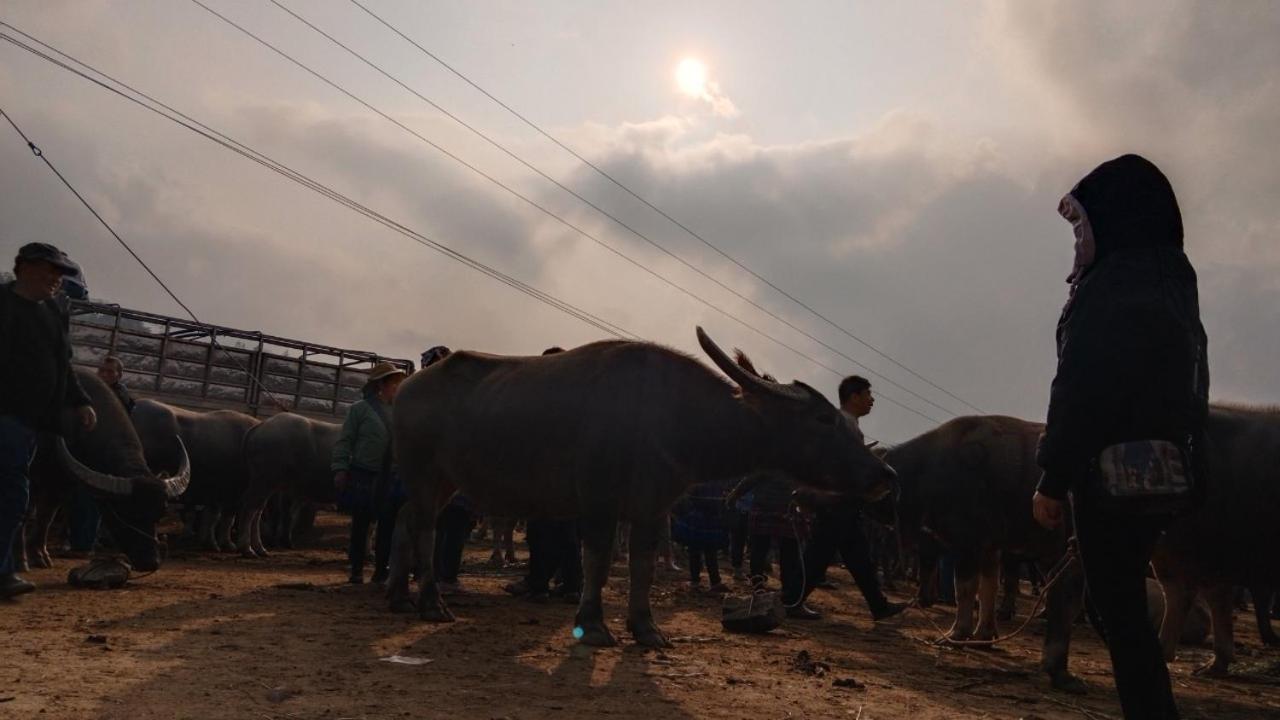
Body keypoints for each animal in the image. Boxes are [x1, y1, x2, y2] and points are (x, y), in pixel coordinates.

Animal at [22, 366, 188, 568]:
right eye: (125, 512)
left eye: (160, 512)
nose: (150, 561)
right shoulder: (32, 475)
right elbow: (27, 512)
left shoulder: (62, 483)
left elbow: (46, 516)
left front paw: (39, 554)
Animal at [131, 397, 261, 548]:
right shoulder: (233, 491)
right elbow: (227, 517)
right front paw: (227, 543)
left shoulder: (214, 491)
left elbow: (211, 516)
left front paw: (208, 541)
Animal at [232, 409, 337, 556]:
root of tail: (262, 425)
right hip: (264, 481)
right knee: (250, 508)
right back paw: (247, 548)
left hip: (266, 484)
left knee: (258, 510)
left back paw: (260, 548)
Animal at [384, 325, 896, 645]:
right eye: (823, 418)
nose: (886, 475)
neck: (672, 415)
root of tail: (409, 386)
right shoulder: (597, 499)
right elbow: (597, 560)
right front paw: (593, 627)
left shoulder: (653, 507)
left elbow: (644, 566)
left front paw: (647, 630)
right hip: (423, 471)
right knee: (425, 527)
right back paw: (430, 602)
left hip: (445, 480)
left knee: (406, 519)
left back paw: (398, 597)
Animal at [1157, 404, 1280, 671]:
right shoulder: (1171, 557)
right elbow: (1175, 597)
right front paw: (1163, 651)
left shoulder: (1214, 558)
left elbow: (1217, 601)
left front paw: (1217, 663)